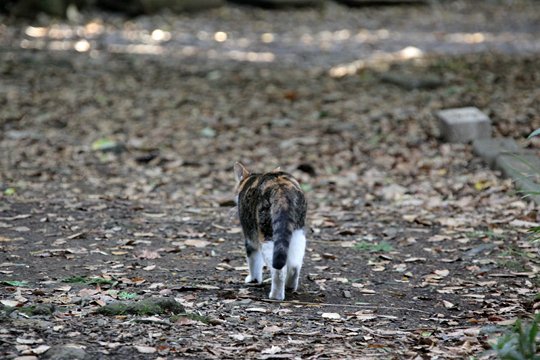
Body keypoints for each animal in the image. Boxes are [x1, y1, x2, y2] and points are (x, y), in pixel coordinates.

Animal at [233, 162, 308, 300]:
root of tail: (281, 188)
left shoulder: (250, 236)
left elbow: (253, 260)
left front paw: (253, 280)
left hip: (266, 233)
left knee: (279, 270)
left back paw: (276, 295)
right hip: (297, 232)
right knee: (295, 265)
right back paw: (290, 286)